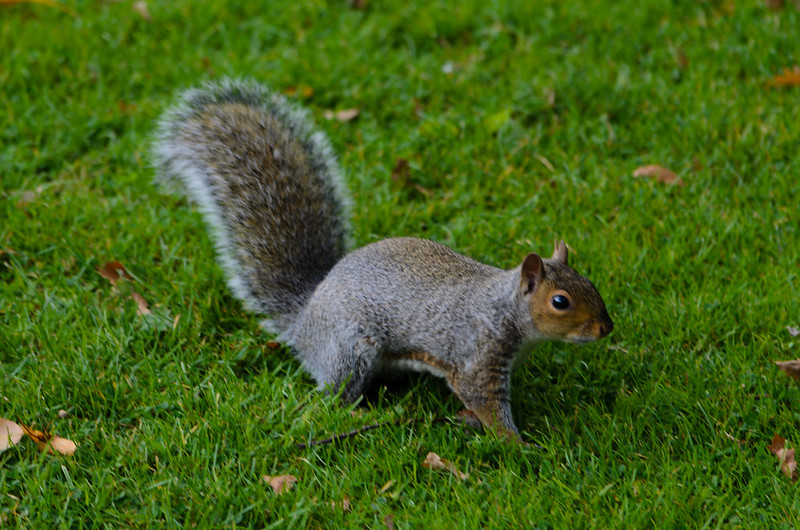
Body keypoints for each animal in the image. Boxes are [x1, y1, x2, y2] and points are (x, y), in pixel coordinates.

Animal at [151, 79, 614, 441]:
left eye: (590, 284)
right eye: (560, 302)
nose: (606, 328)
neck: (506, 309)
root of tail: (304, 321)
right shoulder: (476, 357)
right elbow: (486, 402)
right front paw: (518, 444)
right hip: (349, 350)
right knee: (334, 393)